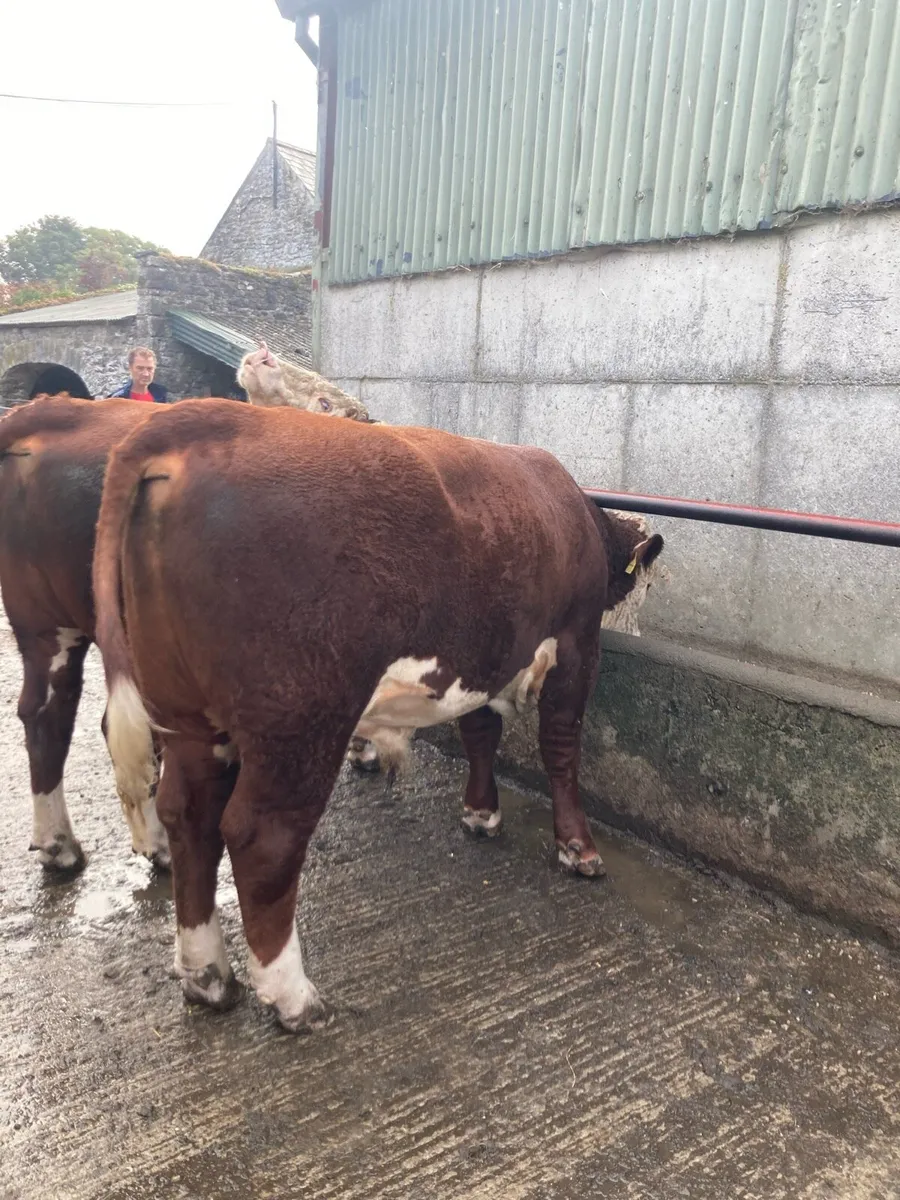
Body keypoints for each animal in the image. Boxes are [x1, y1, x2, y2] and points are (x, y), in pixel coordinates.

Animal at [0, 369, 371, 874]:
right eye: (324, 403)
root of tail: (57, 408)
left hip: (43, 617)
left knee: (46, 711)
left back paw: (60, 843)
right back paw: (135, 843)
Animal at [93, 400, 663, 1032]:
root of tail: (198, 417)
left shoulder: (484, 653)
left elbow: (480, 731)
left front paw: (481, 813)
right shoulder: (577, 642)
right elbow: (562, 746)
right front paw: (578, 848)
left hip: (187, 714)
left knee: (188, 815)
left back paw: (208, 976)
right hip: (302, 718)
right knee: (262, 836)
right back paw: (293, 997)